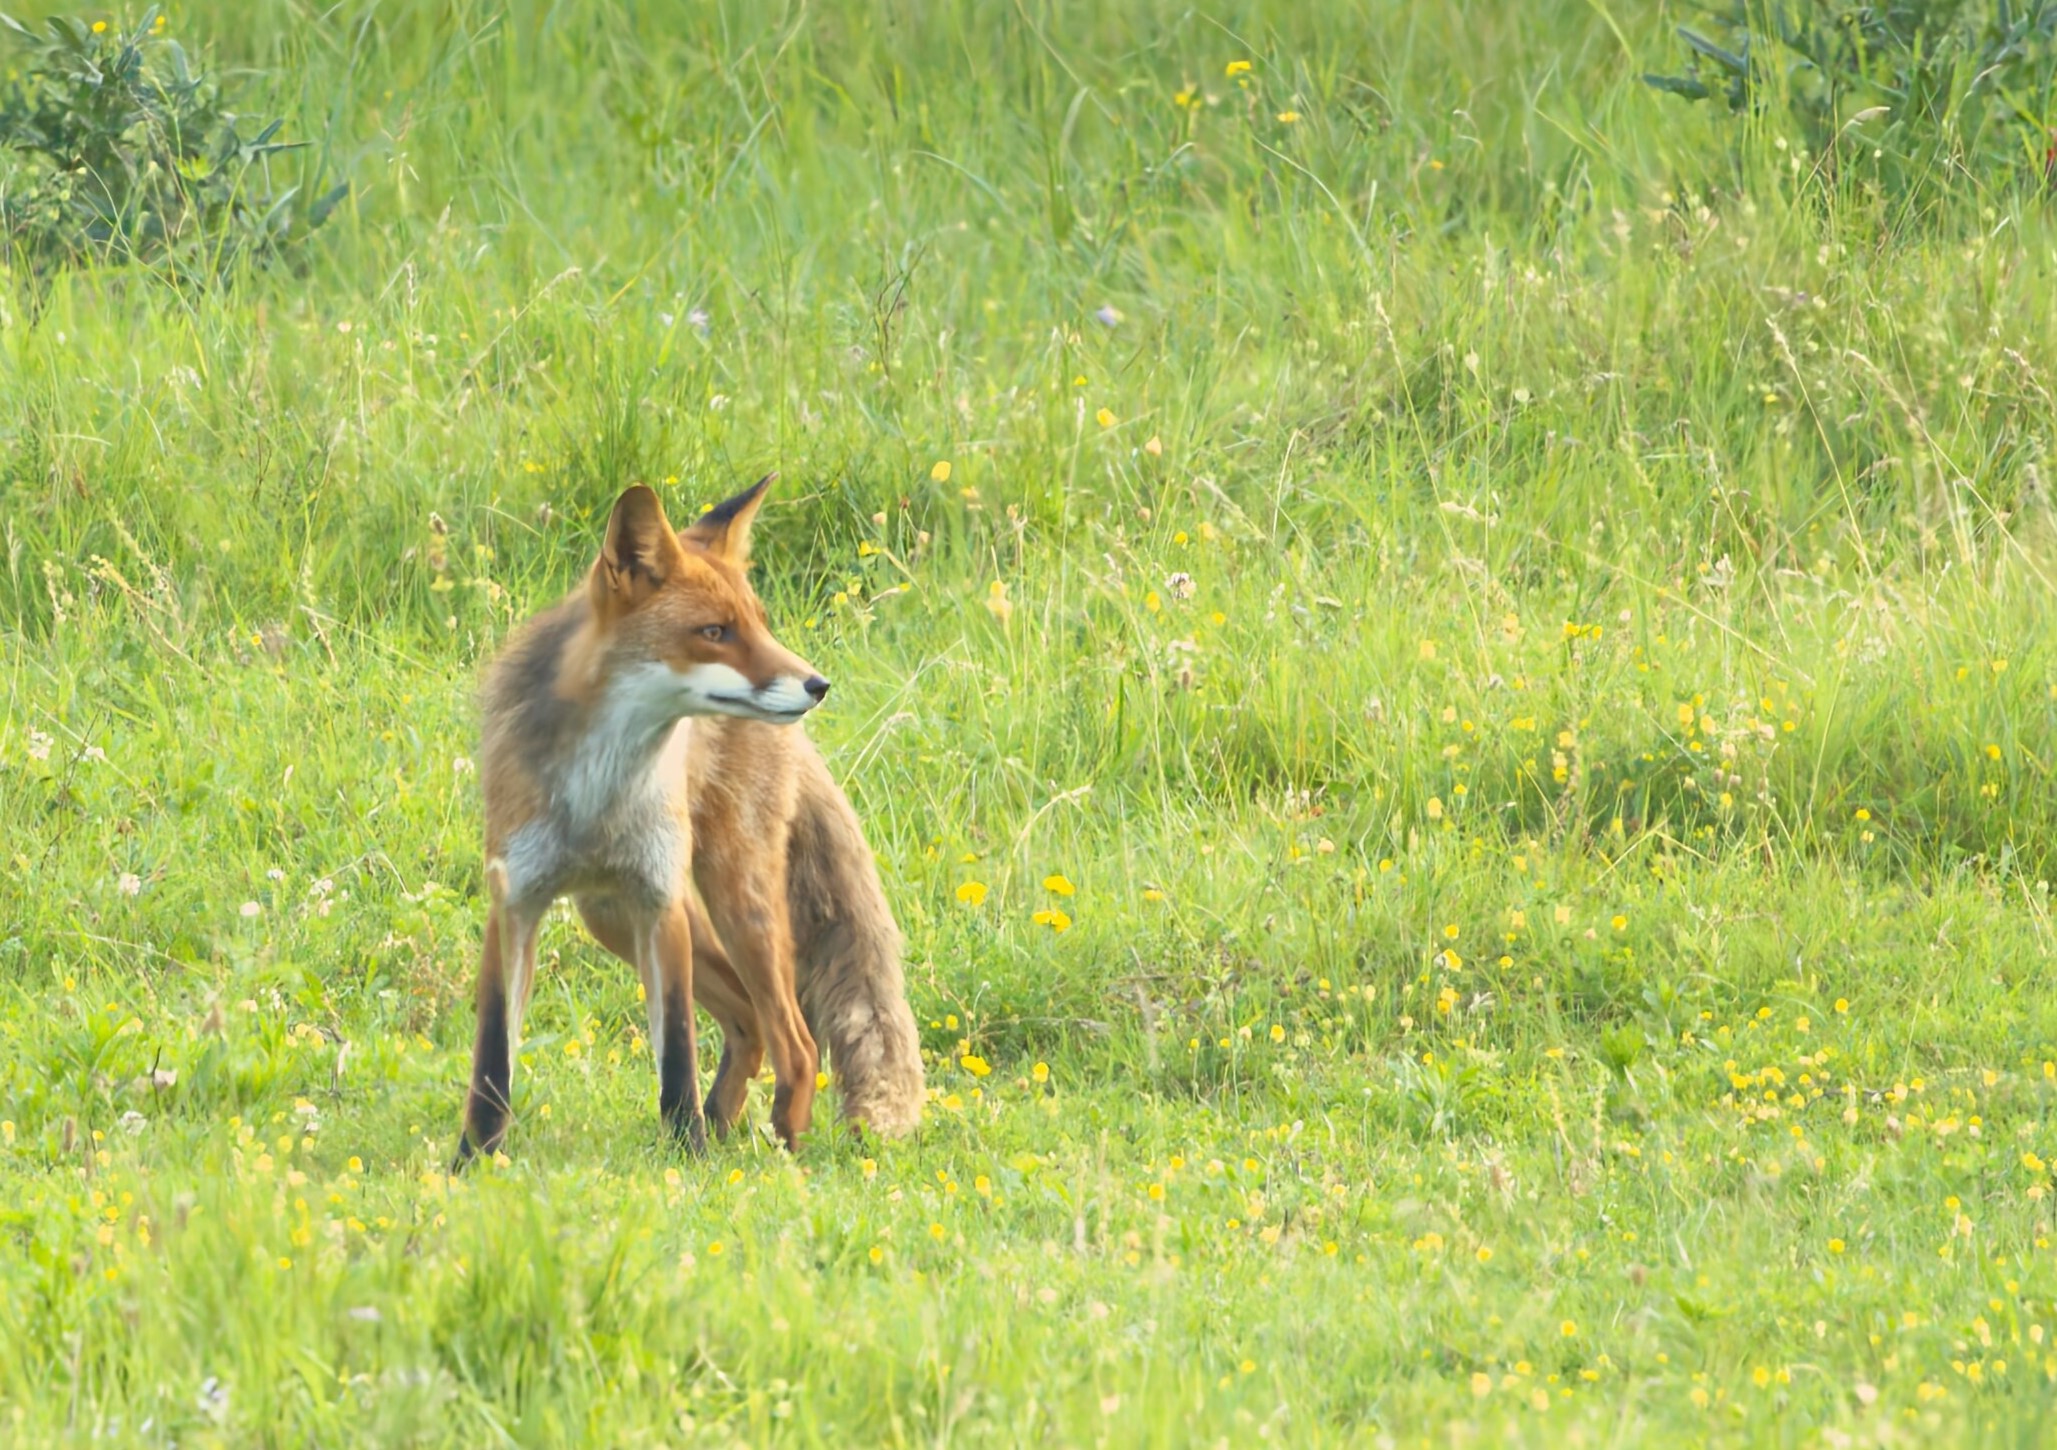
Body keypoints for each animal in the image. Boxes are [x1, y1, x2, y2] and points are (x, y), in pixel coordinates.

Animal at [455, 475, 924, 1164]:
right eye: (715, 631)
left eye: (759, 623)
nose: (817, 685)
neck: (596, 795)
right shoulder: (515, 901)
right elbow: (492, 1057)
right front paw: (472, 1163)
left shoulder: (660, 900)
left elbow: (676, 1054)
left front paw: (690, 1158)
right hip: (611, 914)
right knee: (754, 1023)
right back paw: (724, 1130)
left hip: (735, 900)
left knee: (799, 1040)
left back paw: (780, 1154)